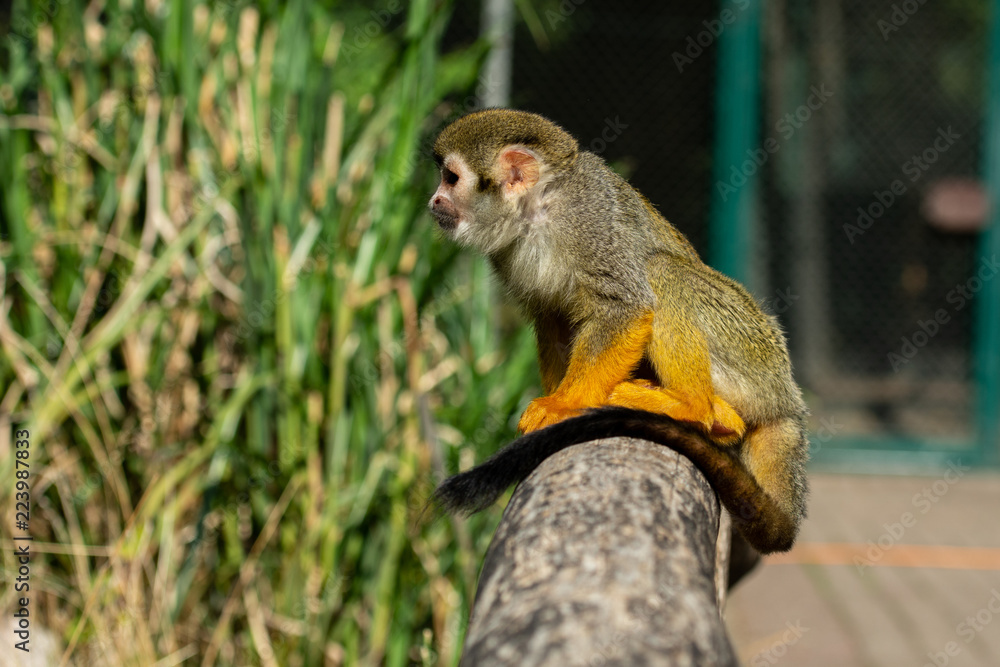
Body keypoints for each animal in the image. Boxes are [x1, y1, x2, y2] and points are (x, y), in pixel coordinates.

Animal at [427, 109, 808, 554]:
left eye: (450, 178)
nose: (434, 200)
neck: (539, 211)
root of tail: (786, 398)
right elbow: (553, 318)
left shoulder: (592, 221)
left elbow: (626, 307)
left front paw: (561, 404)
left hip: (749, 352)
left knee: (662, 272)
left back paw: (692, 406)